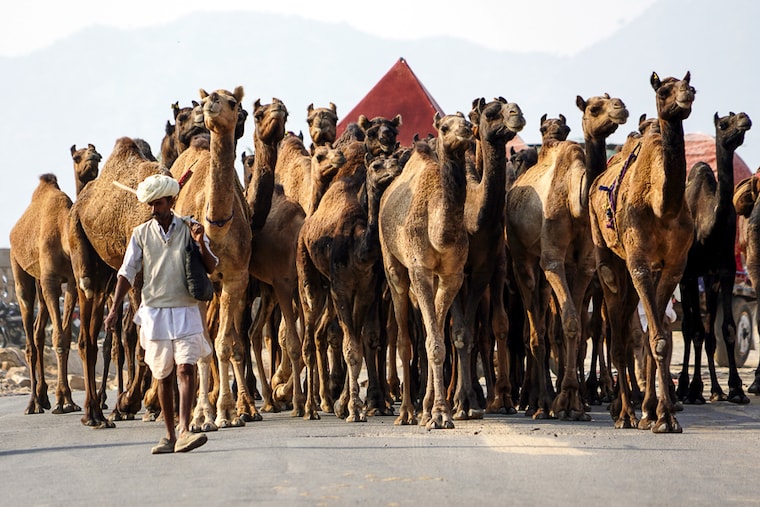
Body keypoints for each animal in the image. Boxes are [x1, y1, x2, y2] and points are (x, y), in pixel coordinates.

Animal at [379, 112, 474, 429]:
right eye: (444, 127)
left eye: (467, 120)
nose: (467, 131)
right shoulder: (419, 269)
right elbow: (430, 343)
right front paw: (439, 414)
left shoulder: (452, 275)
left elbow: (439, 342)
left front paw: (437, 411)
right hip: (393, 267)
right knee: (404, 341)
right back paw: (406, 412)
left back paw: (423, 408)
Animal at [507, 92, 628, 420]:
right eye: (594, 107)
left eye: (611, 99)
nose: (621, 107)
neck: (576, 200)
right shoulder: (552, 261)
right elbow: (570, 322)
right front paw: (562, 402)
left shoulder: (583, 267)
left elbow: (573, 326)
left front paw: (574, 401)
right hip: (521, 258)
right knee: (535, 331)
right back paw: (537, 404)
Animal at [588, 71, 695, 433]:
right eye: (663, 91)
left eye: (690, 85)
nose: (687, 93)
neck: (662, 206)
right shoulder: (638, 263)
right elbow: (654, 338)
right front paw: (658, 417)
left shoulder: (672, 265)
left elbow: (657, 338)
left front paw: (661, 415)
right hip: (609, 261)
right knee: (616, 333)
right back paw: (624, 414)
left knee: (631, 329)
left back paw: (638, 410)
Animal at [677, 111, 752, 404]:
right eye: (723, 124)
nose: (745, 118)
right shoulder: (690, 273)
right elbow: (694, 330)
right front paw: (694, 389)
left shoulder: (725, 272)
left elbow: (727, 329)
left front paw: (735, 389)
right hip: (684, 278)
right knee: (690, 327)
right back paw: (684, 388)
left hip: (709, 281)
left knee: (709, 329)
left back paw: (716, 390)